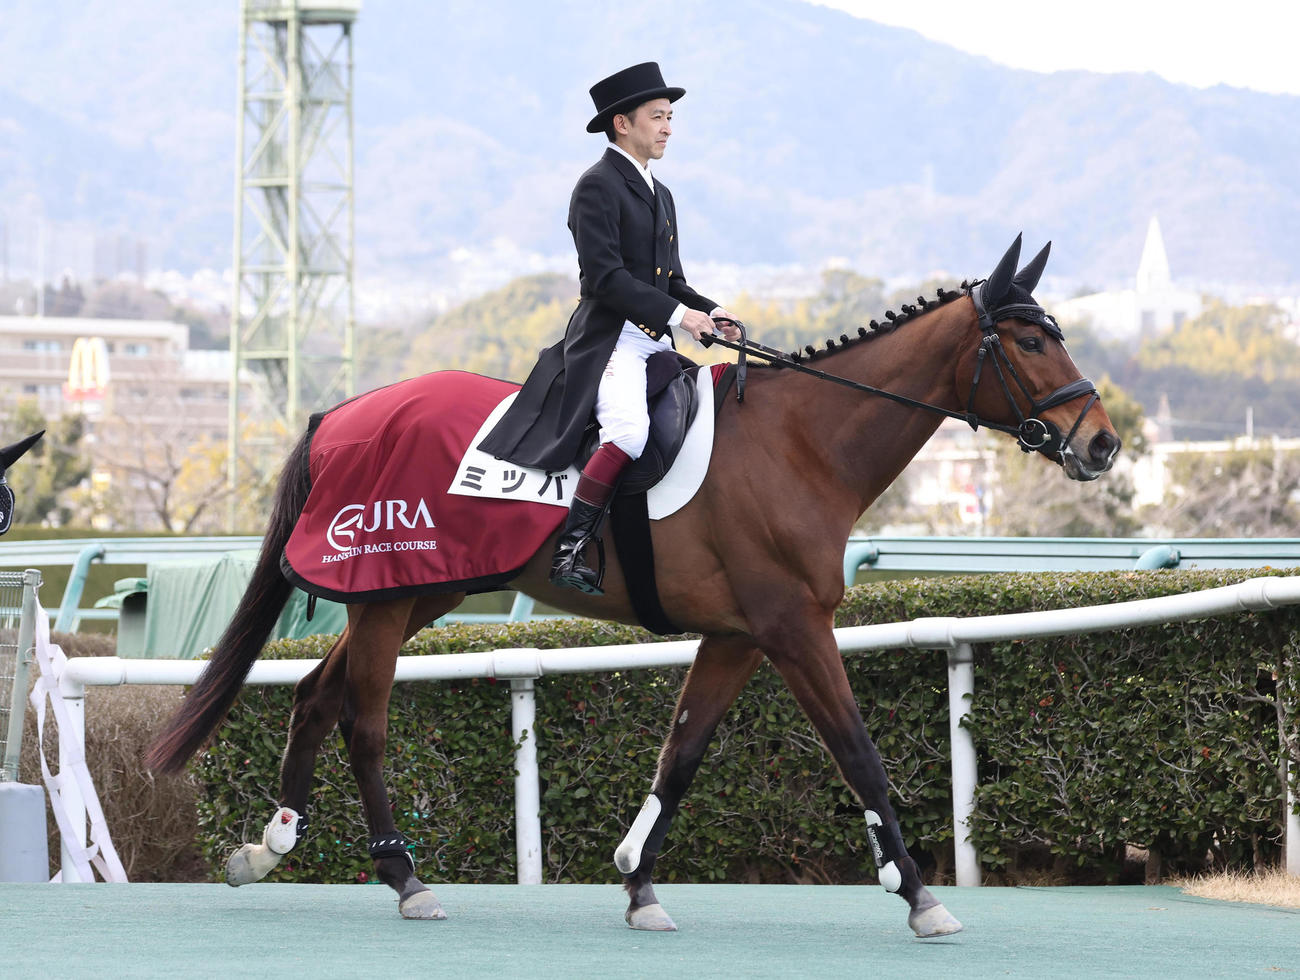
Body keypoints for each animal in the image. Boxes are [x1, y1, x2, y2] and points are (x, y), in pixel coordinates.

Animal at [147, 235, 1121, 938]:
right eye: (1031, 339)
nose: (1103, 444)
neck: (804, 443)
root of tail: (341, 413)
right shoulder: (793, 627)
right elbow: (858, 751)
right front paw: (918, 893)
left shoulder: (738, 636)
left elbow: (680, 756)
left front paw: (639, 884)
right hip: (389, 597)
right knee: (365, 721)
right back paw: (404, 876)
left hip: (422, 588)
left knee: (316, 695)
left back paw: (270, 845)